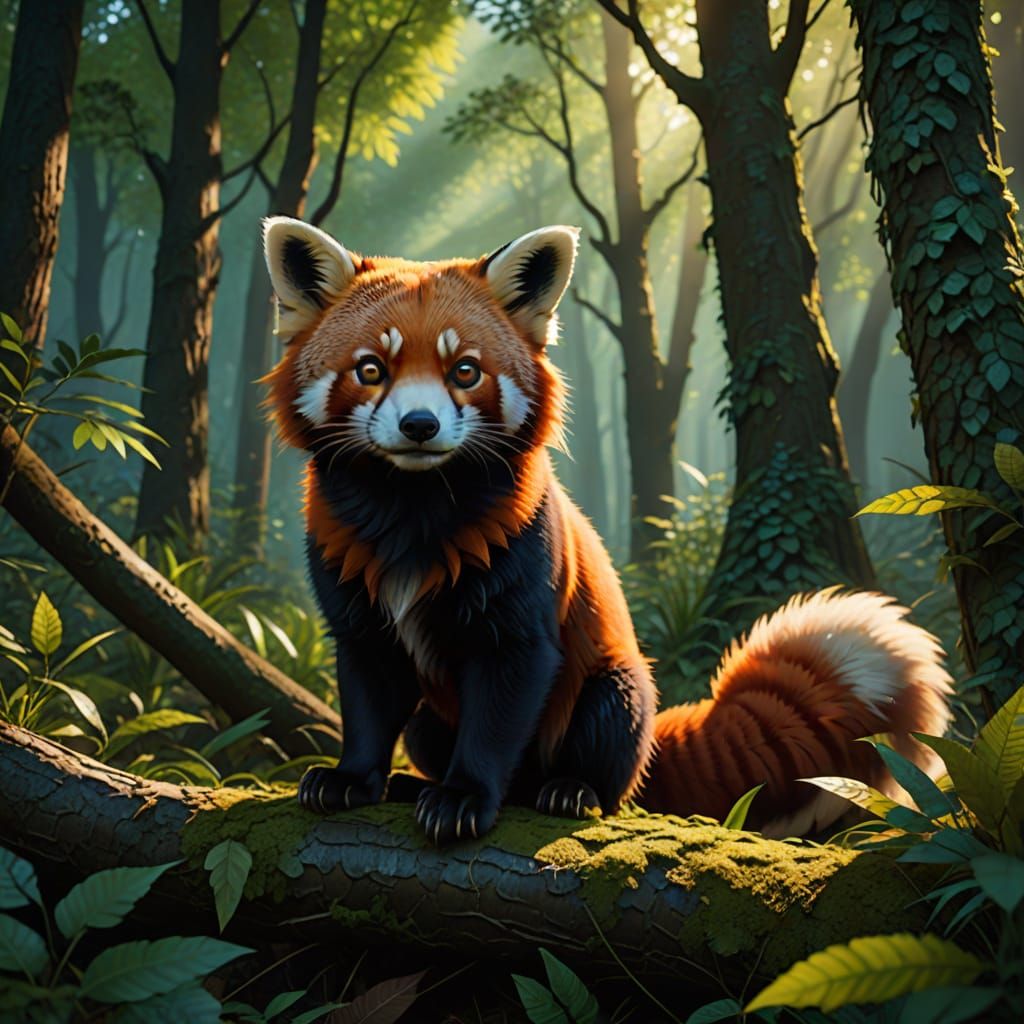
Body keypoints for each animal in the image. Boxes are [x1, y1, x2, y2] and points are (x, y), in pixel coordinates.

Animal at [261, 215, 952, 845]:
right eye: (371, 370)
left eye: (465, 372)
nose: (420, 425)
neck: (413, 504)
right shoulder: (347, 570)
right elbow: (370, 690)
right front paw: (353, 778)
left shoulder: (522, 576)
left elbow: (504, 699)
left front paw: (465, 798)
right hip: (434, 718)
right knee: (427, 727)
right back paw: (416, 782)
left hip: (614, 689)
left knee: (603, 740)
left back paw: (568, 791)